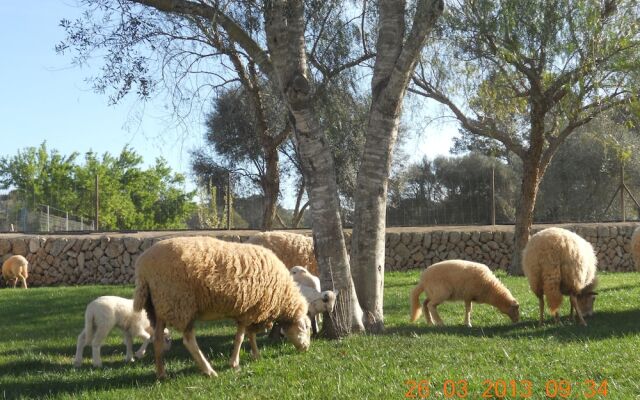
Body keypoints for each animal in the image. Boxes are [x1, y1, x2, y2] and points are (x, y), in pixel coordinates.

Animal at [134, 236, 312, 380]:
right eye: (306, 328)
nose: (306, 348)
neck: (283, 296)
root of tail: (143, 267)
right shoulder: (249, 311)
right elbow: (241, 337)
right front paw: (234, 363)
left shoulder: (250, 309)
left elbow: (250, 335)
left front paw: (256, 355)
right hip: (181, 303)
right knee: (189, 340)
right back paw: (209, 371)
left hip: (160, 306)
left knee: (158, 339)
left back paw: (161, 374)